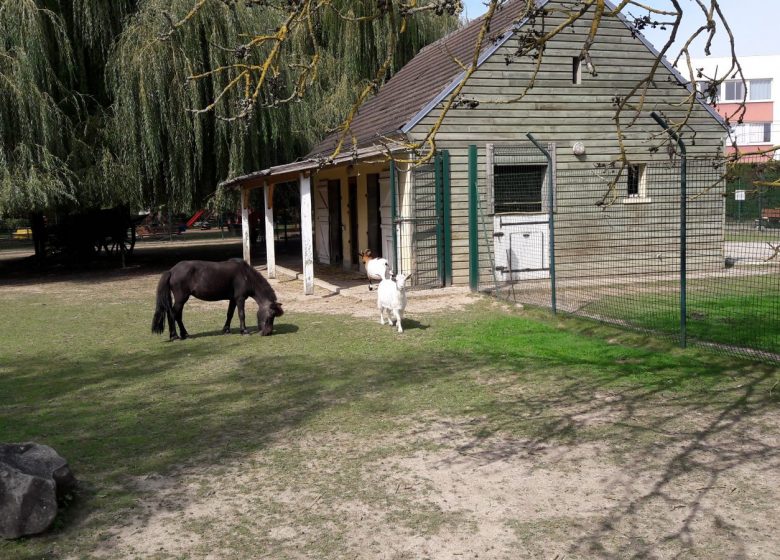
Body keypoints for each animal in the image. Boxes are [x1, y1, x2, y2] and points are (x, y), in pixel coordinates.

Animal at [150, 260, 284, 342]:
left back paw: (185, 334)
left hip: (182, 300)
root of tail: (172, 271)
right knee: (173, 314)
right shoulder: (240, 299)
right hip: (181, 299)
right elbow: (241, 314)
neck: (246, 275)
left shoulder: (233, 299)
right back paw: (175, 336)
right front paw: (244, 331)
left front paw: (226, 330)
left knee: (178, 315)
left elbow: (230, 314)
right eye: (271, 316)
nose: (268, 333)